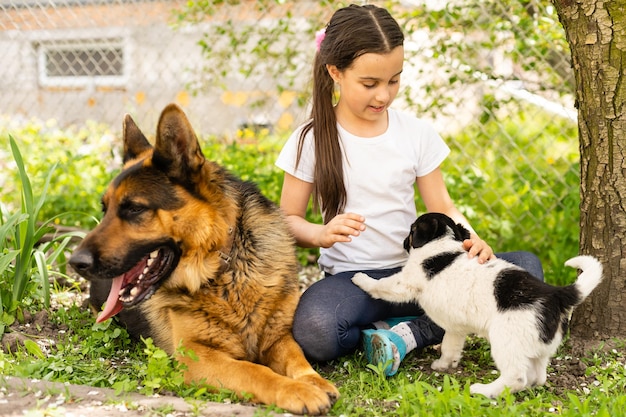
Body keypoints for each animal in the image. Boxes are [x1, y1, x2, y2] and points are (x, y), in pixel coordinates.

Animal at [69, 103, 336, 412]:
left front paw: (312, 381)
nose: (75, 262)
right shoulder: (199, 358)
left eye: (134, 209)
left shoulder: (278, 337)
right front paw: (296, 390)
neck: (225, 268)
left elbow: (297, 360)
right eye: (105, 209)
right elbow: (255, 371)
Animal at [352, 213, 600, 398]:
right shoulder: (455, 329)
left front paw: (361, 278)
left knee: (516, 376)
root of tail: (556, 295)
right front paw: (444, 365)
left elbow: (381, 285)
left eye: (411, 231)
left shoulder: (405, 283)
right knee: (538, 375)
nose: (403, 242)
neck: (442, 244)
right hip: (539, 347)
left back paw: (484, 391)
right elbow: (449, 348)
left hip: (506, 341)